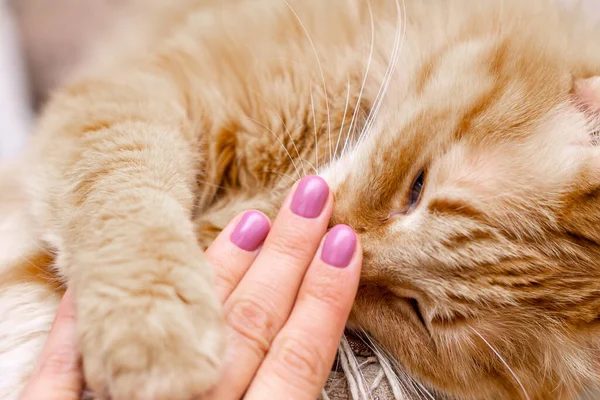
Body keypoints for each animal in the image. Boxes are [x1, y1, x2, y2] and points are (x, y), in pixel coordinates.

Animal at [1, 0, 600, 398]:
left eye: (416, 312)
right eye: (417, 188)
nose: (330, 235)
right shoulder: (138, 95)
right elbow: (129, 201)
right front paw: (153, 331)